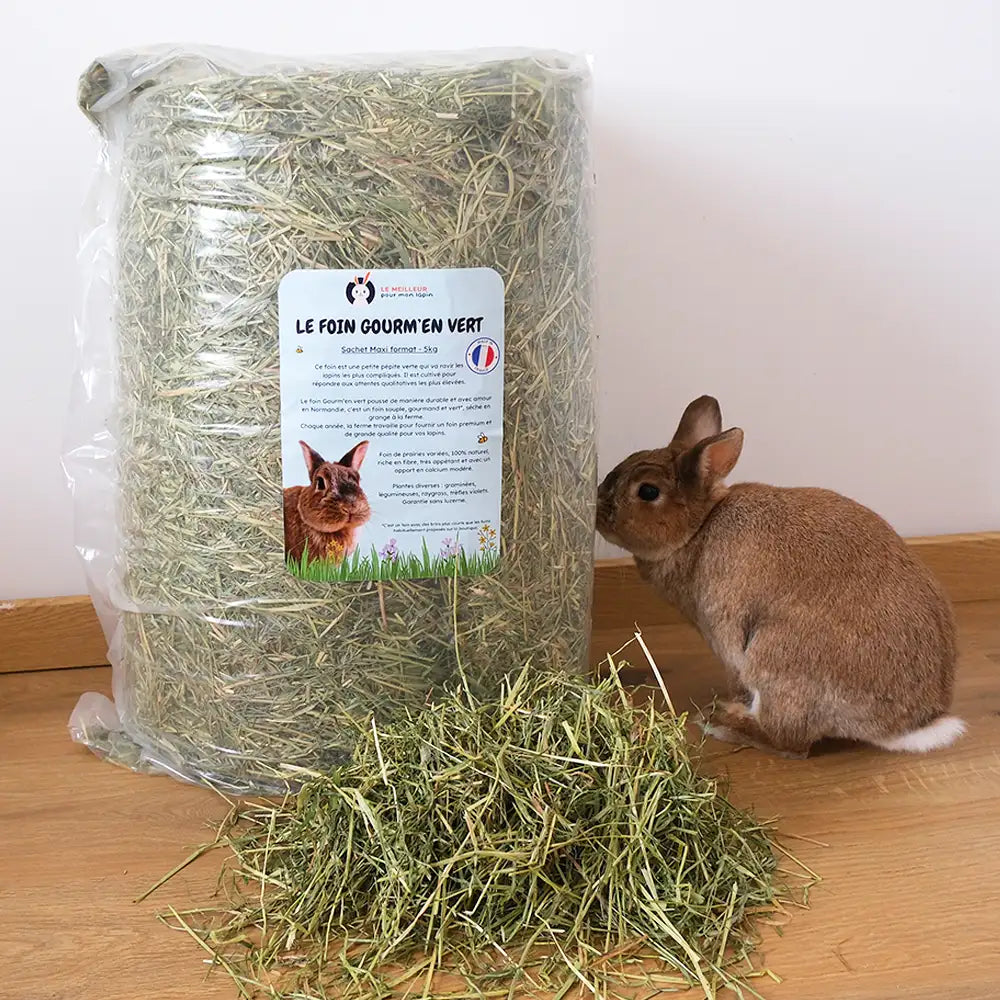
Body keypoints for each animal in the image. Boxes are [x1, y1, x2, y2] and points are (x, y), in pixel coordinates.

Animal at [596, 395, 964, 759]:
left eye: (647, 492)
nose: (598, 510)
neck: (699, 527)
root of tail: (908, 726)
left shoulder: (726, 635)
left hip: (775, 660)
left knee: (790, 742)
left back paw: (721, 721)